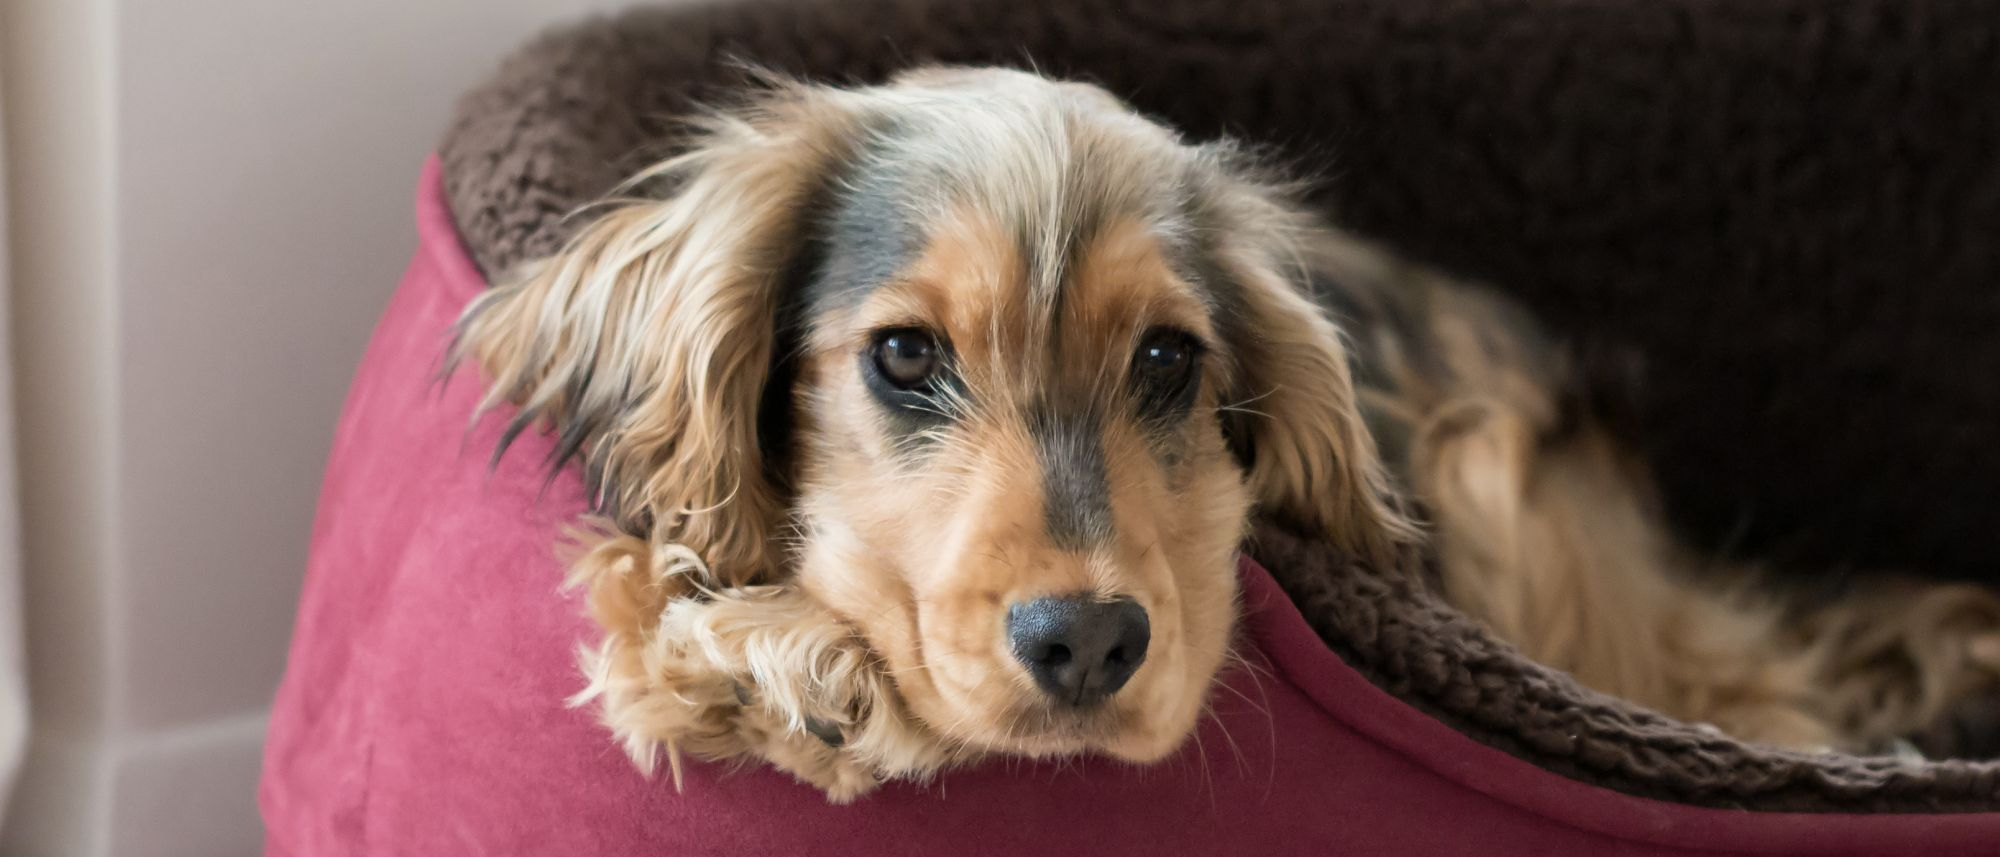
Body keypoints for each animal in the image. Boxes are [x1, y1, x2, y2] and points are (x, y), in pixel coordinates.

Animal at [450, 68, 2000, 804]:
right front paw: (743, 646)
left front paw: (776, 659)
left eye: (1166, 361)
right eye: (902, 356)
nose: (1088, 644)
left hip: (1509, 478)